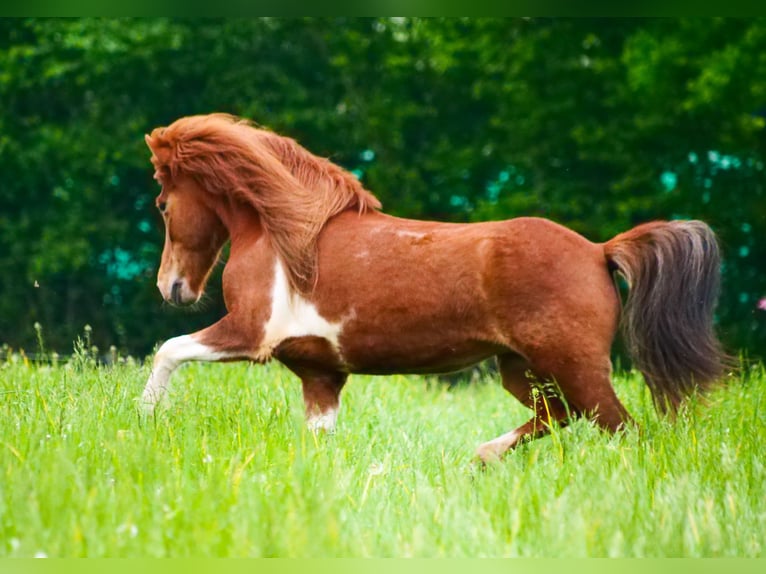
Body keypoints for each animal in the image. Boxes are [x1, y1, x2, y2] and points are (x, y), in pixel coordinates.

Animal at [142, 112, 728, 464]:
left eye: (163, 204)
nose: (171, 288)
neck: (286, 233)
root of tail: (598, 251)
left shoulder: (249, 333)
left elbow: (169, 349)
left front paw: (144, 419)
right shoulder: (322, 374)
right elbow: (318, 440)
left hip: (574, 367)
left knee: (621, 427)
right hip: (523, 369)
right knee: (557, 414)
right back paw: (484, 455)